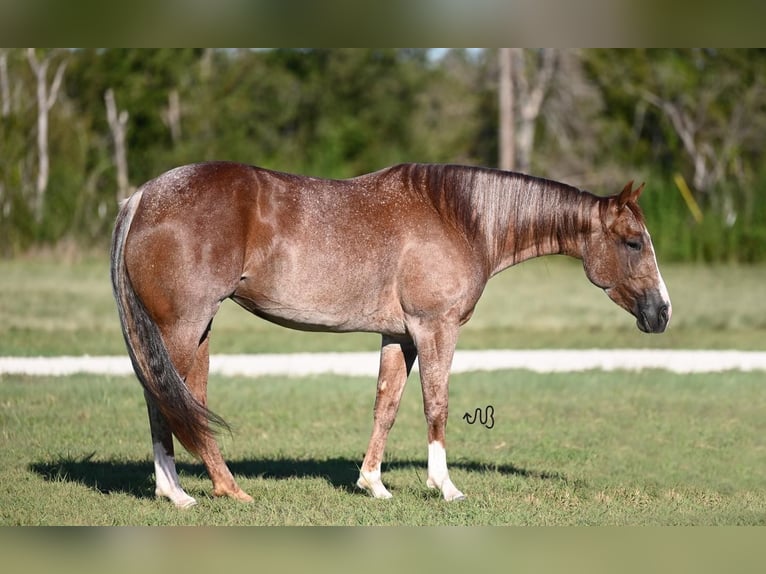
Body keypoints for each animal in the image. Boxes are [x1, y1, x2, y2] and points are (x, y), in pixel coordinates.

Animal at [109, 162, 672, 508]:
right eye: (634, 242)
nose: (662, 313)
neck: (460, 218)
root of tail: (143, 196)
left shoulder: (398, 336)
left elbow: (388, 404)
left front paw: (374, 484)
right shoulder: (434, 327)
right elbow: (436, 403)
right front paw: (445, 486)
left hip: (200, 328)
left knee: (187, 400)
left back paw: (220, 487)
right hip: (181, 326)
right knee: (162, 401)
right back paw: (180, 493)